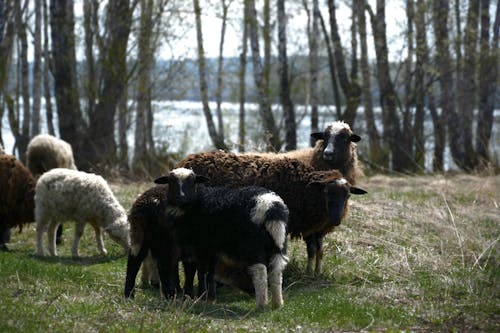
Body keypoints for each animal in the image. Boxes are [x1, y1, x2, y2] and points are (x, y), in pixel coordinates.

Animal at [154, 167, 292, 308]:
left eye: (192, 182)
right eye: (171, 183)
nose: (181, 198)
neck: (196, 203)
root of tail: (271, 206)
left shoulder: (198, 246)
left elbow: (199, 271)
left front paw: (199, 297)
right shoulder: (212, 248)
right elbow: (210, 272)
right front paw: (210, 298)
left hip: (253, 244)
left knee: (260, 271)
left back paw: (261, 304)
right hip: (278, 241)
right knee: (276, 270)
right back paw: (277, 303)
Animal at [176, 152, 368, 274]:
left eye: (348, 195)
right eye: (327, 193)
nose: (336, 219)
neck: (303, 188)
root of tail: (184, 162)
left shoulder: (314, 230)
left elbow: (316, 251)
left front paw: (315, 273)